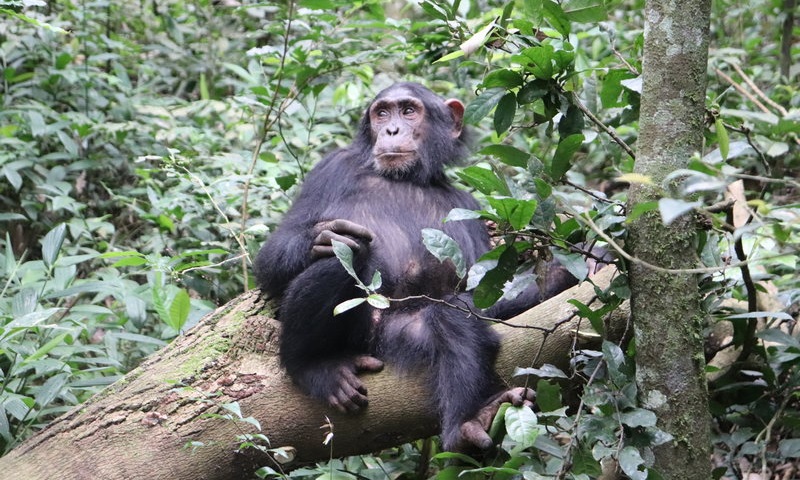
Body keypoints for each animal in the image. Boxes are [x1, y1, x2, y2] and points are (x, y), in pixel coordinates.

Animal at [258, 81, 568, 450]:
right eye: (381, 113)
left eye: (408, 111)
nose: (391, 129)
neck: (408, 179)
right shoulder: (331, 168)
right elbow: (273, 256)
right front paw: (324, 236)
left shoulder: (468, 206)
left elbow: (484, 290)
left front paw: (558, 274)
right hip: (364, 338)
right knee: (342, 261)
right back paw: (314, 366)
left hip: (394, 339)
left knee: (451, 321)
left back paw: (472, 419)